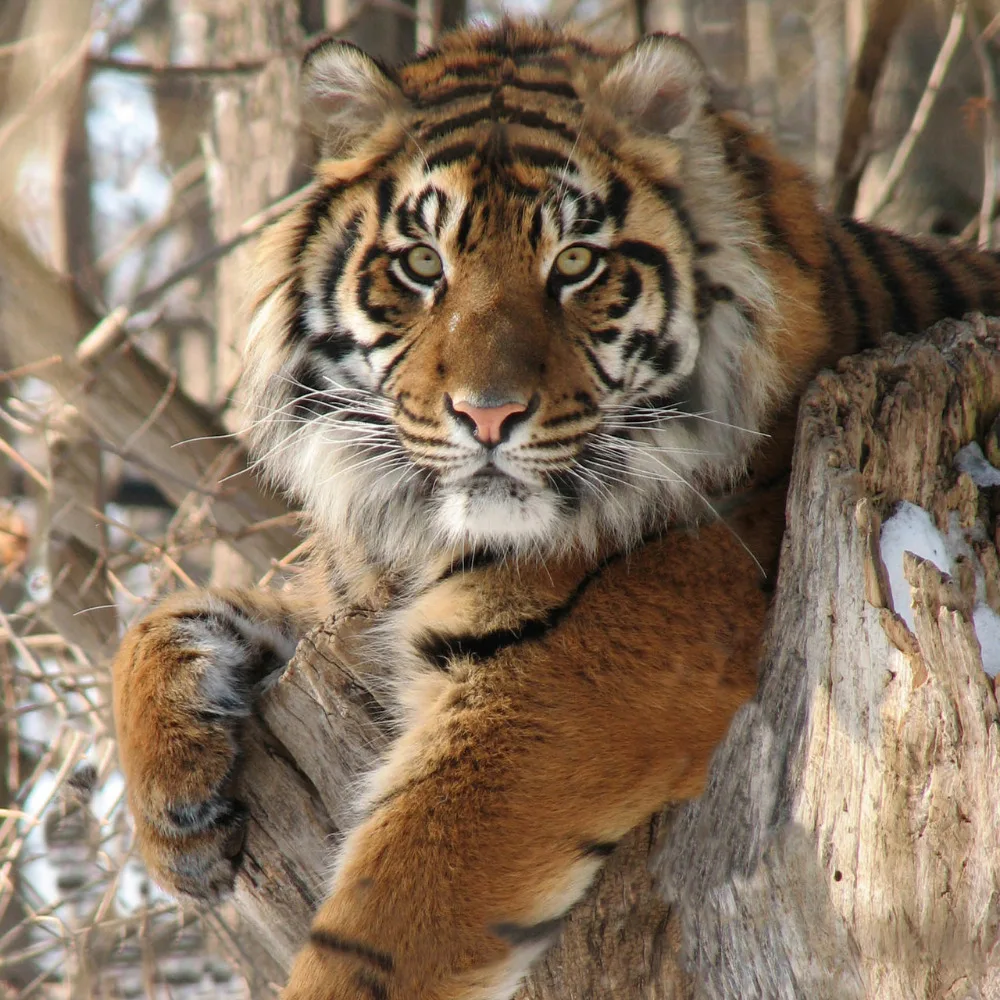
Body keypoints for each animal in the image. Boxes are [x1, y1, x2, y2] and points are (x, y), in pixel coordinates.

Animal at [111, 19, 1000, 1000]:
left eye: (575, 263)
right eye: (421, 264)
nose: (487, 414)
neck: (424, 532)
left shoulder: (560, 674)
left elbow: (388, 916)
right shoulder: (353, 601)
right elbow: (159, 620)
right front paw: (176, 818)